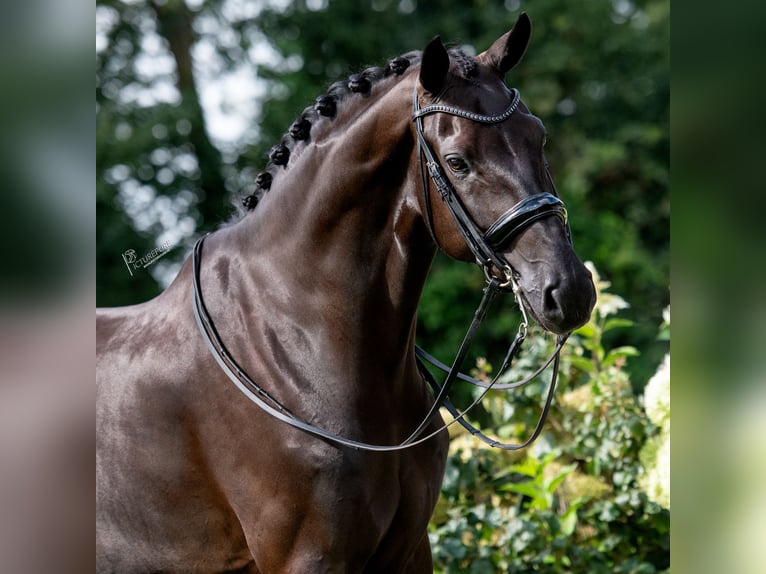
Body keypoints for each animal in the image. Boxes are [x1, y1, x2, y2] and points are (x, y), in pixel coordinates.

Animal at [97, 13, 600, 574]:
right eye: (457, 161)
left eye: (539, 137)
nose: (569, 290)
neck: (297, 339)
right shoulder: (307, 558)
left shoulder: (409, 551)